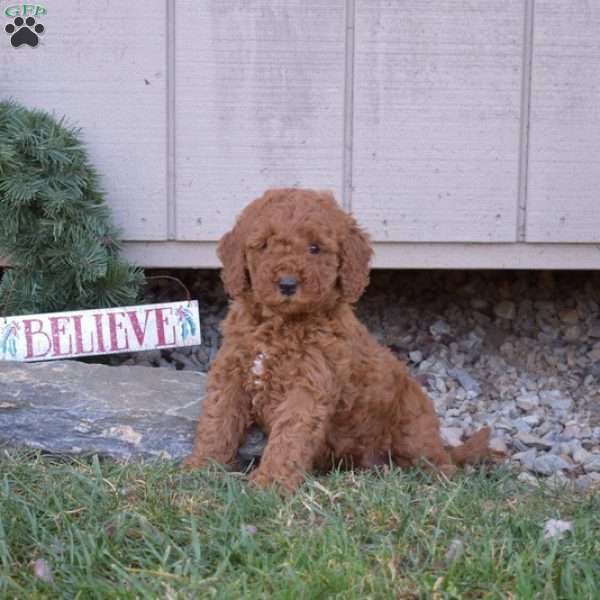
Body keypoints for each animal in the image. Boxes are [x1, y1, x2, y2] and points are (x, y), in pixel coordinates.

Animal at [185, 189, 490, 492]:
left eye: (314, 248)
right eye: (265, 246)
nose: (287, 284)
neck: (279, 323)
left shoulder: (307, 388)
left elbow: (289, 436)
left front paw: (270, 482)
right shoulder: (231, 374)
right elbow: (218, 420)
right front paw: (201, 466)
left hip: (412, 430)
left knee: (435, 460)